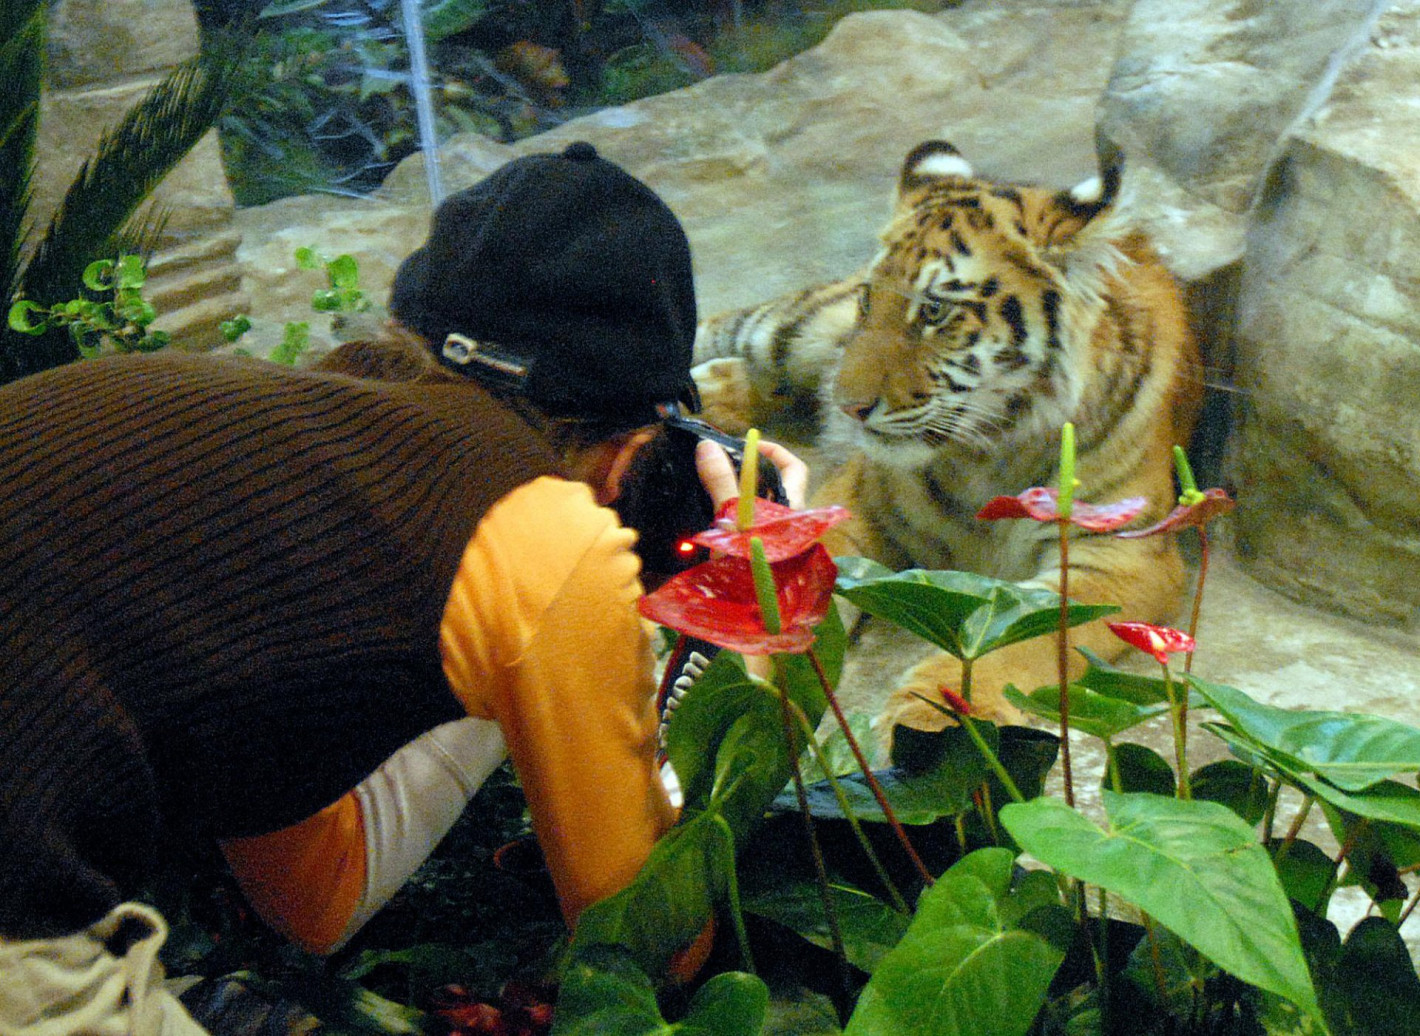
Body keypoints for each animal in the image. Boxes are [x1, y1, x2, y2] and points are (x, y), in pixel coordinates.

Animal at [692, 136, 1204, 737]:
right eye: (869, 300)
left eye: (934, 310)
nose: (845, 406)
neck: (993, 448)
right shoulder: (853, 506)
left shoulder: (1123, 558)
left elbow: (1024, 632)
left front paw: (930, 716)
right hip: (790, 331)